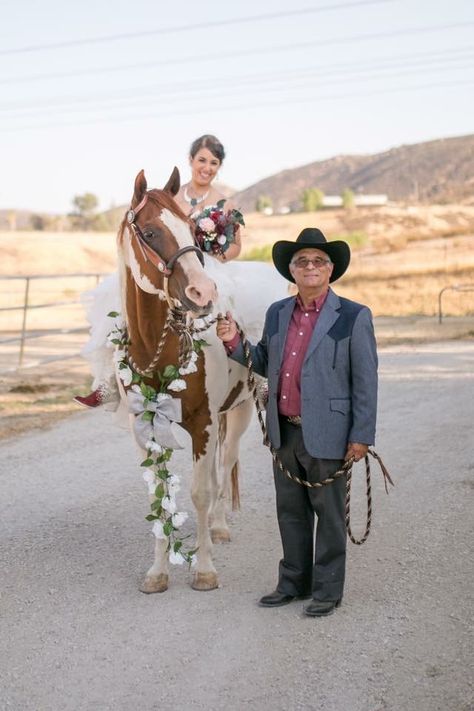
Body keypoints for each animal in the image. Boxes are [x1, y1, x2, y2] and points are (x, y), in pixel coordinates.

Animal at [116, 168, 254, 596]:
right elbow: (158, 496)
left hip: (239, 412)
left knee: (225, 464)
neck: (158, 349)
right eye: (149, 232)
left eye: (193, 231)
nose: (203, 292)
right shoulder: (146, 427)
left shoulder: (203, 423)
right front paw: (158, 571)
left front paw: (205, 570)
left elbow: (200, 492)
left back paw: (218, 527)